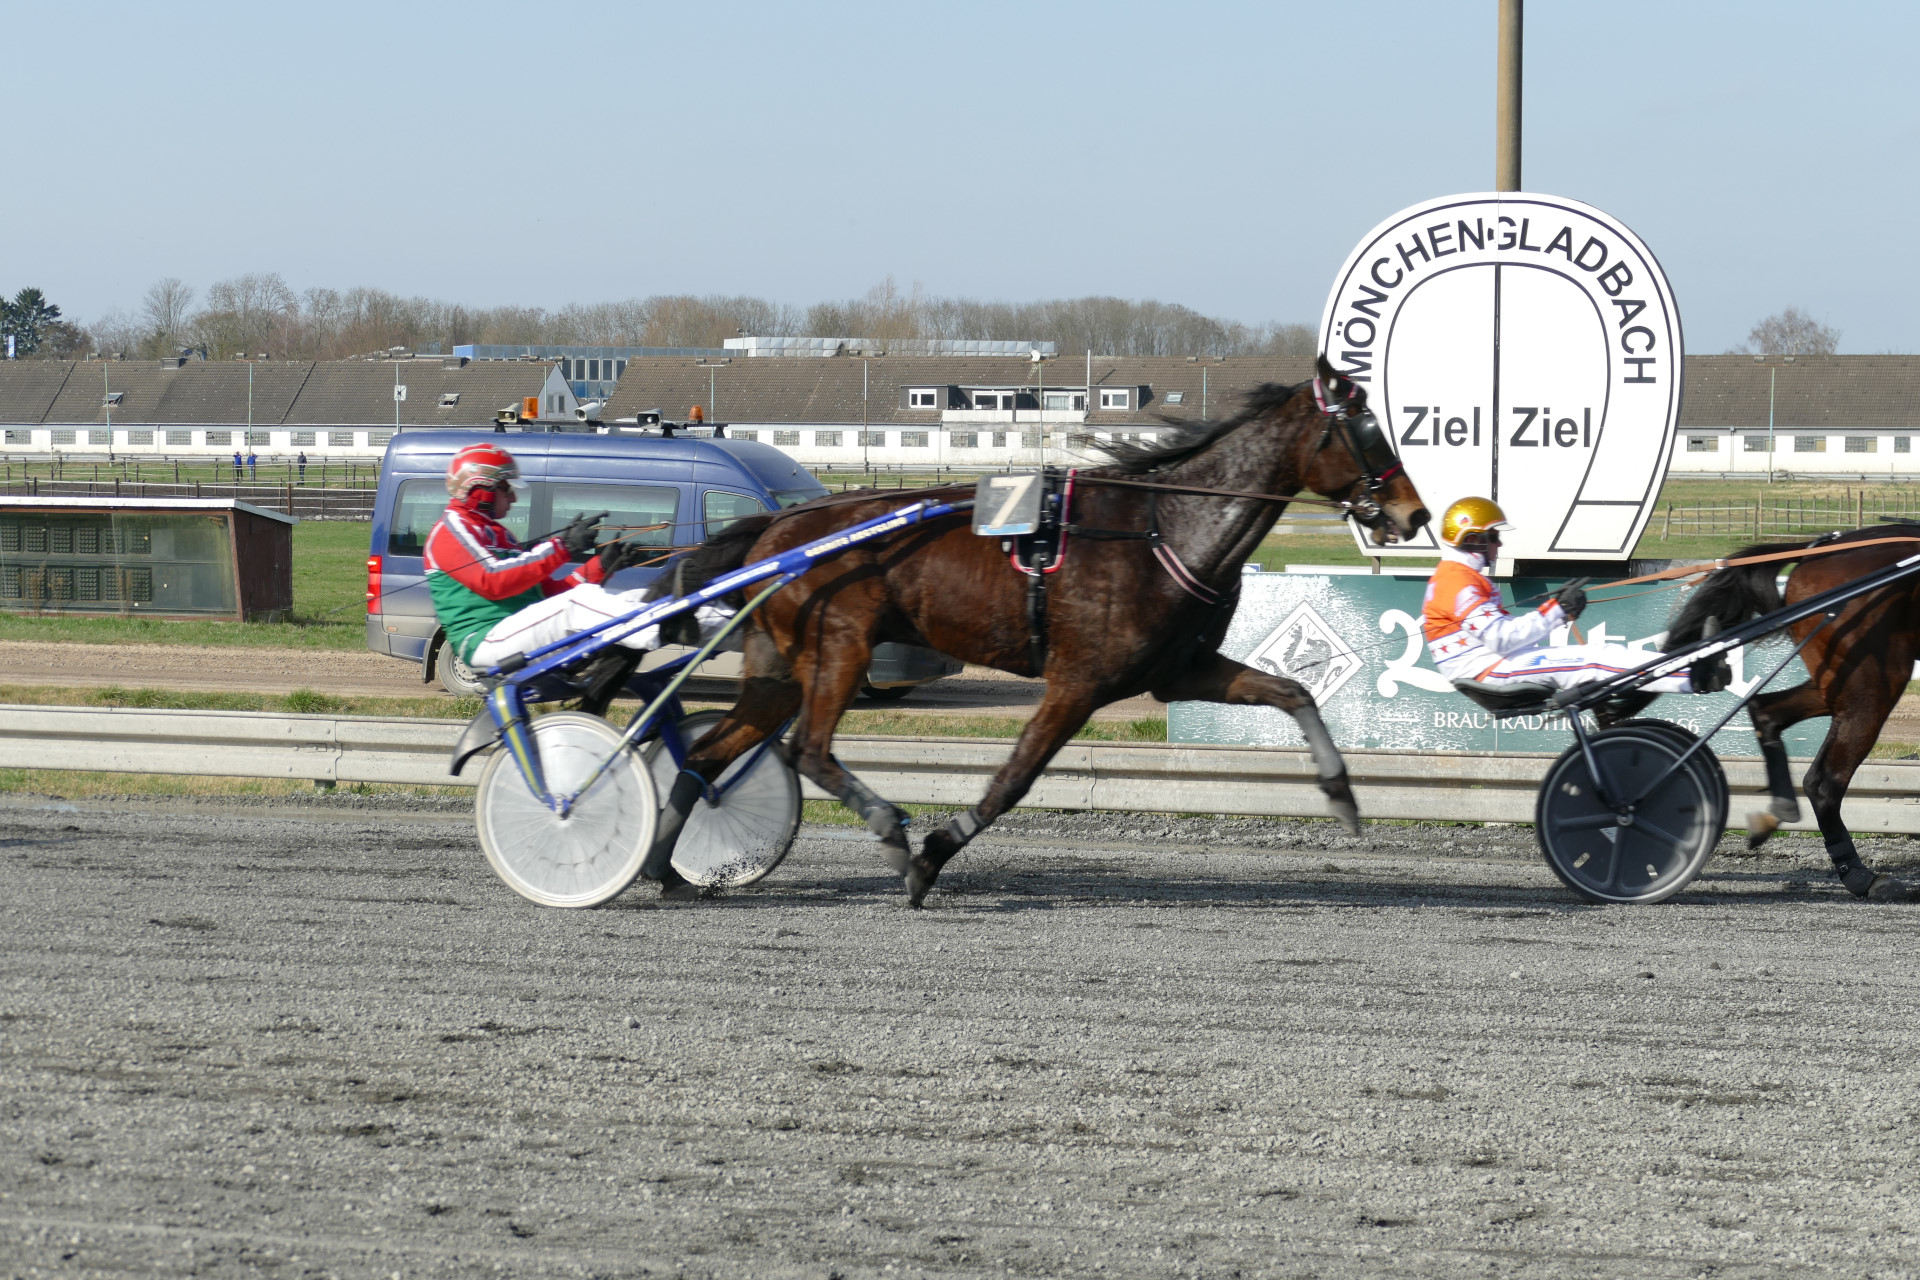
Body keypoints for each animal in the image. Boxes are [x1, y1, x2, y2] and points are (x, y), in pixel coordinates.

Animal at [639, 355, 1431, 906]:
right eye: (1368, 430)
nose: (1415, 513)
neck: (1162, 528)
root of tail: (780, 528)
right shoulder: (1078, 680)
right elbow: (1014, 779)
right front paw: (930, 856)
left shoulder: (1181, 669)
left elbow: (1295, 692)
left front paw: (1342, 795)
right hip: (842, 646)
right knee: (806, 748)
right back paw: (889, 832)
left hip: (779, 666)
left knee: (708, 753)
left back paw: (663, 867)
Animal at [1660, 525, 1920, 901]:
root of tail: (1816, 550)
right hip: (1872, 681)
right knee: (1823, 781)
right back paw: (1859, 875)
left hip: (1839, 681)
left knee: (1767, 711)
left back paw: (1779, 813)